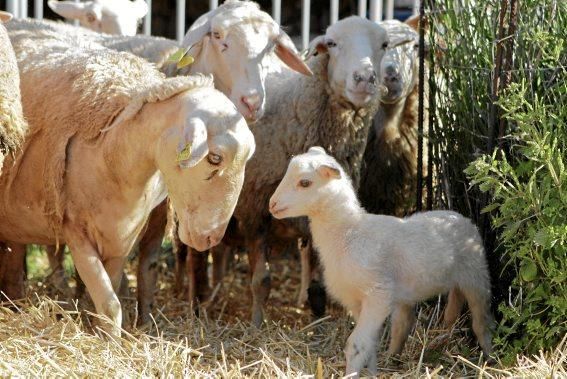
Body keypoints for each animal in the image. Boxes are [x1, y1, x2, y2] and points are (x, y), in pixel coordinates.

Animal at [0, 27, 258, 336]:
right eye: (215, 158)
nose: (212, 238)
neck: (114, 149)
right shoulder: (75, 231)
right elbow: (111, 303)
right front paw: (109, 340)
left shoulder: (120, 238)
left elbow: (109, 292)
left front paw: (103, 333)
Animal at [270, 146, 492, 378]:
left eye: (305, 182)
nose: (272, 205)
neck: (348, 233)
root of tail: (460, 217)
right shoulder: (356, 300)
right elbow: (370, 344)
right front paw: (372, 371)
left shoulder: (377, 294)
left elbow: (356, 344)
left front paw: (351, 373)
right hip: (416, 290)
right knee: (407, 323)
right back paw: (396, 356)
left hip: (476, 275)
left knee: (481, 321)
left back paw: (489, 358)